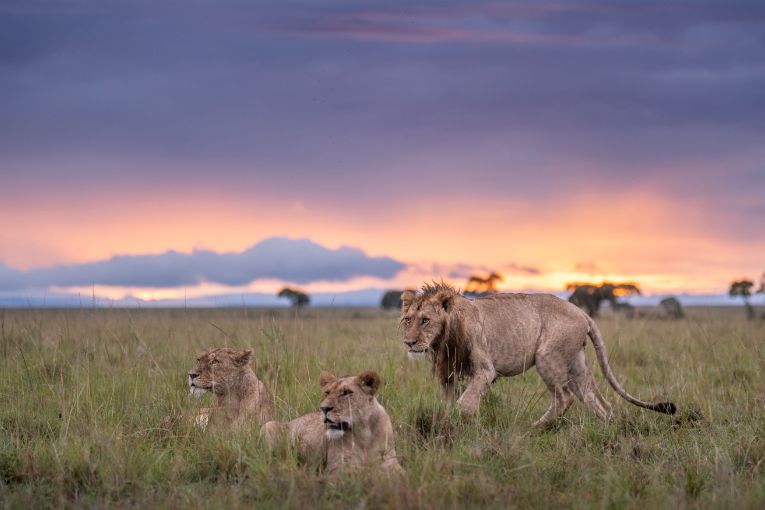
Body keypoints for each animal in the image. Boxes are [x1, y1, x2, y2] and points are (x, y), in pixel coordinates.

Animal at [258, 370, 400, 474]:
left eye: (346, 393)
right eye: (327, 392)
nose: (324, 408)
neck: (364, 433)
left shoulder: (391, 462)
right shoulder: (338, 467)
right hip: (268, 425)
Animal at [400, 282, 676, 426]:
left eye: (425, 320)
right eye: (407, 320)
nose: (409, 343)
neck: (442, 341)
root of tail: (582, 312)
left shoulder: (486, 370)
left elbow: (466, 403)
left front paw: (467, 427)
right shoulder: (446, 375)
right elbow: (447, 405)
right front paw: (446, 429)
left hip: (547, 356)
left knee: (565, 398)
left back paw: (534, 429)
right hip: (576, 364)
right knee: (597, 401)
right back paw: (605, 429)